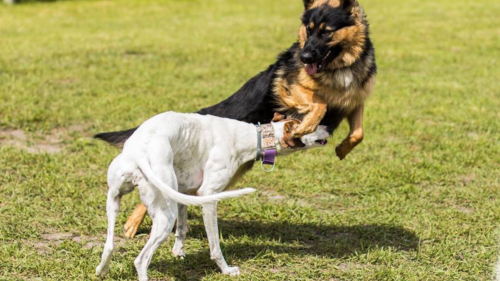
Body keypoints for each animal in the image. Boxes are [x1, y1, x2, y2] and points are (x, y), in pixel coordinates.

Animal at [94, 110, 328, 278]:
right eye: (313, 125)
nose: (328, 126)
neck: (251, 136)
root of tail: (140, 152)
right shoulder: (208, 195)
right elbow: (214, 246)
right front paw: (226, 270)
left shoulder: (183, 191)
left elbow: (182, 229)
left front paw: (178, 252)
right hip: (164, 216)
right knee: (141, 260)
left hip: (114, 199)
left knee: (109, 245)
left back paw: (101, 271)